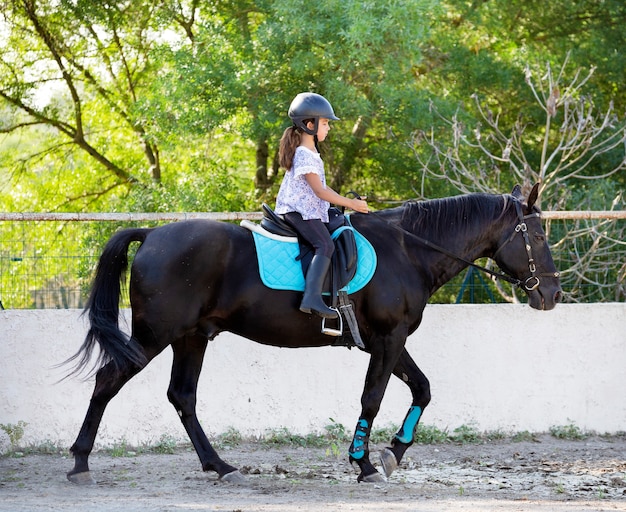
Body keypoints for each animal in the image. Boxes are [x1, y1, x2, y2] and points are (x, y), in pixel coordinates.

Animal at [64, 183, 560, 484]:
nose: (552, 294)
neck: (407, 250)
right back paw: (80, 461)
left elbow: (422, 388)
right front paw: (364, 463)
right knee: (108, 381)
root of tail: (151, 234)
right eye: (537, 237)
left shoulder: (388, 340)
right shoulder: (388, 338)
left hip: (191, 338)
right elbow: (372, 398)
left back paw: (219, 465)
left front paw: (393, 452)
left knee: (182, 396)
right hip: (156, 335)